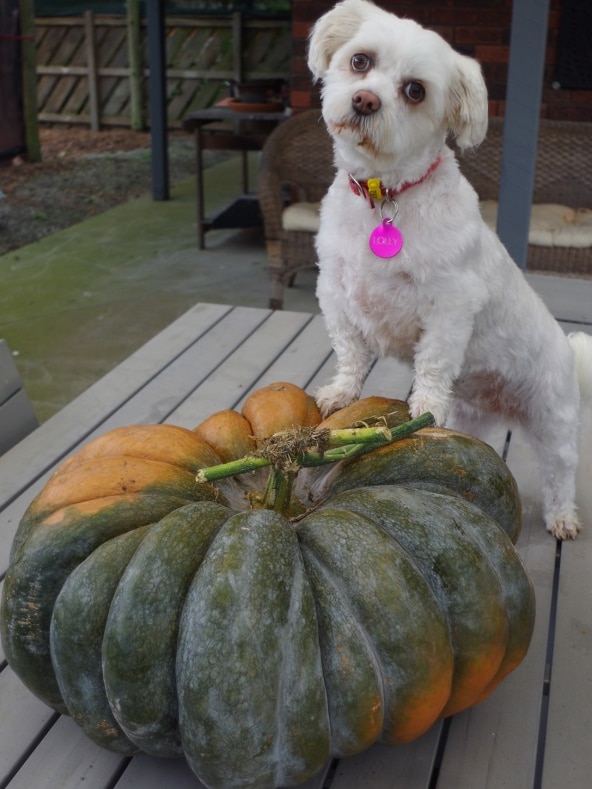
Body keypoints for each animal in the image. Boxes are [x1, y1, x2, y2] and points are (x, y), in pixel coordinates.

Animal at [308, 0, 588, 540]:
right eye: (360, 61)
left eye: (415, 91)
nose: (366, 100)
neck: (385, 197)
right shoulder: (334, 289)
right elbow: (349, 349)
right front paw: (342, 391)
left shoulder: (450, 304)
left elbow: (434, 360)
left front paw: (425, 406)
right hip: (473, 415)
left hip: (553, 418)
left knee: (560, 472)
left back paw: (563, 516)